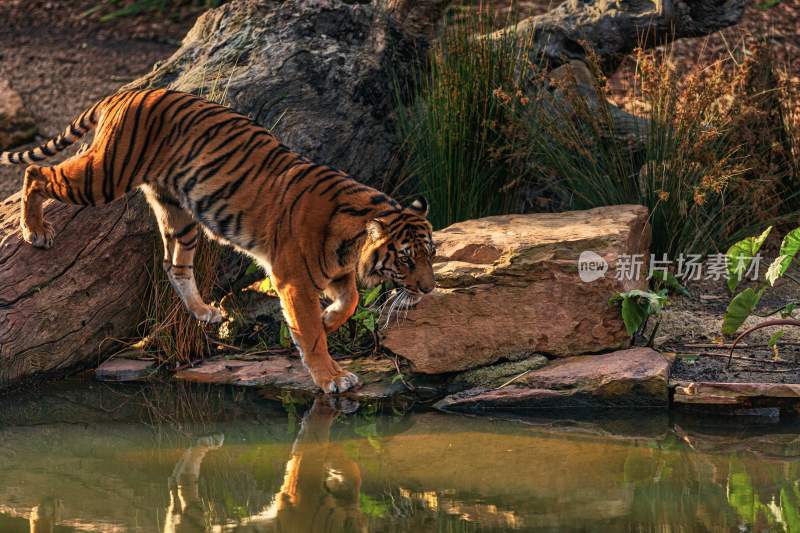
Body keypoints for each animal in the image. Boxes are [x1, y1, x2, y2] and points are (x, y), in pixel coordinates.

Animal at [1, 87, 438, 392]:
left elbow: (350, 301)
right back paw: (35, 230)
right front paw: (331, 376)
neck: (352, 242)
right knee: (37, 173)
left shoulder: (333, 272)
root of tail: (127, 91)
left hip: (178, 211)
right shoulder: (293, 279)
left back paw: (204, 312)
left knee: (174, 265)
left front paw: (331, 320)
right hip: (104, 174)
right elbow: (311, 334)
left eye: (430, 254)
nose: (429, 289)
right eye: (405, 259)